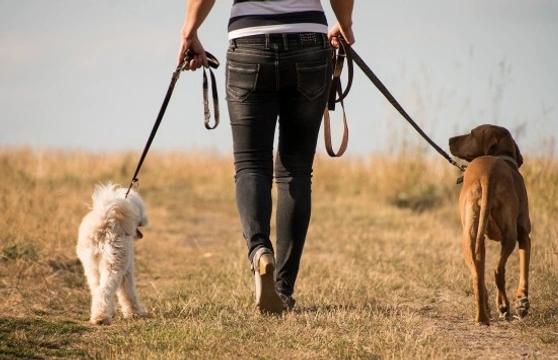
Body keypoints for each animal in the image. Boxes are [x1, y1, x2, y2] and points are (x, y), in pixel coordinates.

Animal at [77, 181, 151, 324]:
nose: (146, 219)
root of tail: (105, 222)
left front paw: (112, 311)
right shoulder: (127, 270)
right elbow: (129, 293)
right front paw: (135, 312)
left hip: (91, 266)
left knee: (96, 290)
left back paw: (100, 314)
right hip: (114, 265)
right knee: (104, 290)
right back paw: (101, 318)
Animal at [450, 124, 532, 326]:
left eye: (471, 133)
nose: (449, 140)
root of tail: (487, 174)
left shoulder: (481, 242)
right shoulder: (524, 234)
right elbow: (524, 269)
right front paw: (522, 302)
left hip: (469, 238)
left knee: (477, 277)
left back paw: (482, 317)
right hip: (509, 236)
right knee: (498, 270)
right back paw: (503, 307)